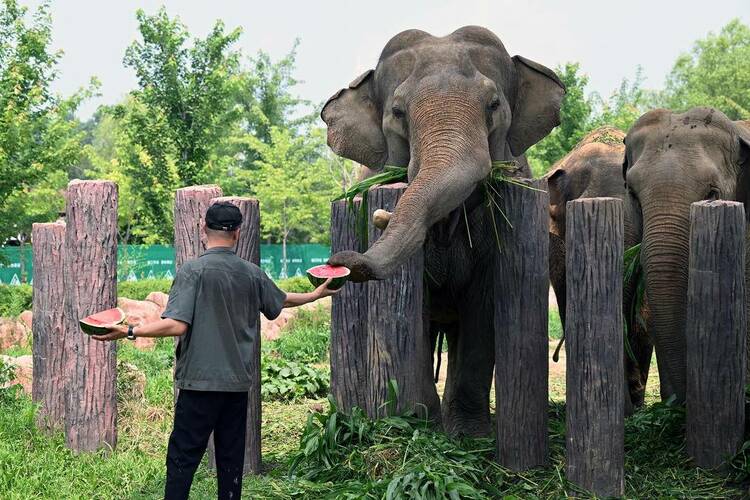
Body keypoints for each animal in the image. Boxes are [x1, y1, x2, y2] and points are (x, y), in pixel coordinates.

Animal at [324, 25, 564, 436]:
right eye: (398, 113)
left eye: (493, 105)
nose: (341, 260)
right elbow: (414, 310)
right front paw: (421, 425)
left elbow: (483, 308)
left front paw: (468, 434)